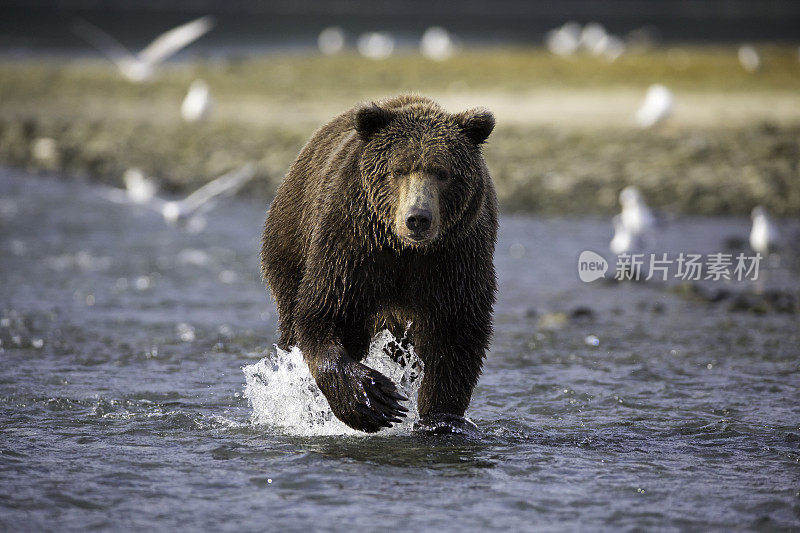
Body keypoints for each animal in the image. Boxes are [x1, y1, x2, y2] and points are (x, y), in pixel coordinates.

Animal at [262, 92, 496, 432]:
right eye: (398, 170)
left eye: (442, 172)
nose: (417, 218)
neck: (404, 250)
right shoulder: (352, 247)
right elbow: (327, 314)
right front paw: (372, 399)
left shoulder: (454, 259)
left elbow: (454, 335)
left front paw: (441, 419)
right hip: (290, 243)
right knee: (293, 323)